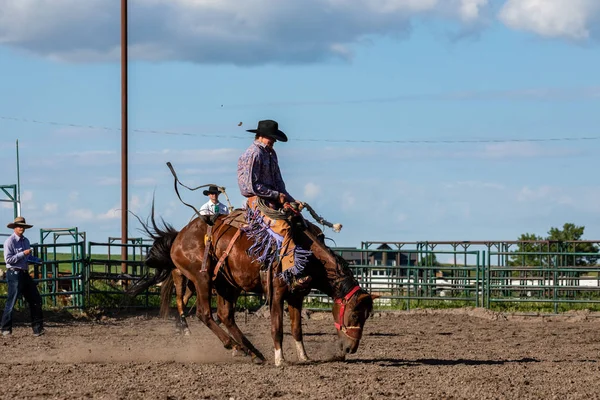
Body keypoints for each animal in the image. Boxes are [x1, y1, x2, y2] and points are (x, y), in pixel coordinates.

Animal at [135, 206, 376, 366]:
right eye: (355, 315)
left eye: (366, 317)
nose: (350, 348)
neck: (308, 253)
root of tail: (179, 235)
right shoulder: (277, 293)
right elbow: (277, 327)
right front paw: (280, 359)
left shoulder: (296, 296)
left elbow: (296, 329)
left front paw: (304, 356)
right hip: (201, 279)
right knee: (204, 313)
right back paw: (234, 346)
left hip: (227, 285)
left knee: (226, 316)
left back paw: (252, 352)